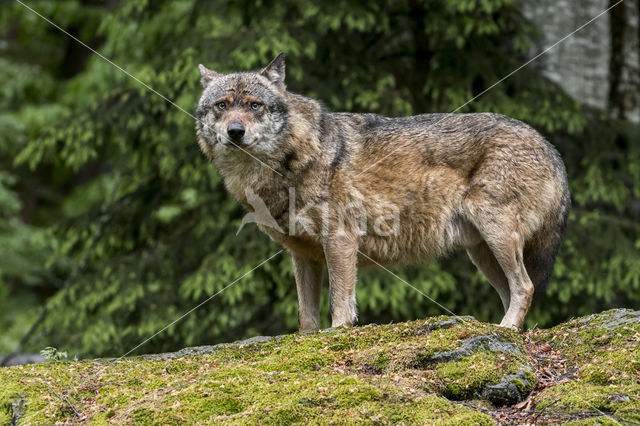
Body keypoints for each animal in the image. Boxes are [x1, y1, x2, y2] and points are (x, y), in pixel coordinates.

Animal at [194, 53, 568, 332]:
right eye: (222, 105)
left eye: (254, 105)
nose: (235, 131)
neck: (292, 161)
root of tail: (549, 145)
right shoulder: (303, 255)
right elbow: (306, 317)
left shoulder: (340, 240)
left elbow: (340, 302)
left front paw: (339, 333)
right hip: (482, 253)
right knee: (513, 292)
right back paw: (504, 331)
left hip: (496, 235)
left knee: (525, 287)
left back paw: (506, 329)